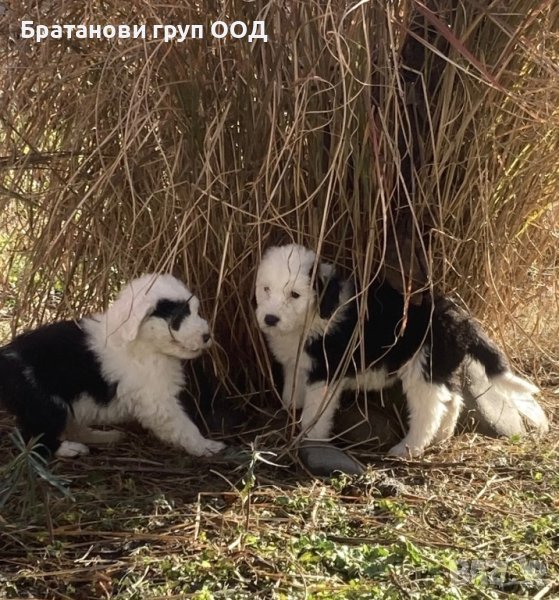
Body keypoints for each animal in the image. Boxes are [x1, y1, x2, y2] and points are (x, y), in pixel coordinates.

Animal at [0, 274, 226, 458]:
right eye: (178, 317)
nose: (207, 336)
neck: (144, 344)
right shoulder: (157, 401)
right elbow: (184, 427)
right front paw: (206, 446)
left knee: (72, 427)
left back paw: (104, 436)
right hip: (45, 403)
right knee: (37, 439)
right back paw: (70, 449)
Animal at [255, 244, 545, 457]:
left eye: (295, 295)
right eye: (265, 289)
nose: (270, 319)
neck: (315, 315)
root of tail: (459, 318)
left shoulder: (326, 372)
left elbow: (316, 412)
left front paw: (309, 438)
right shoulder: (296, 365)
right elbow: (292, 391)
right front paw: (290, 409)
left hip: (422, 370)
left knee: (429, 412)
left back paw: (408, 448)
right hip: (441, 367)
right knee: (452, 401)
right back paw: (442, 437)